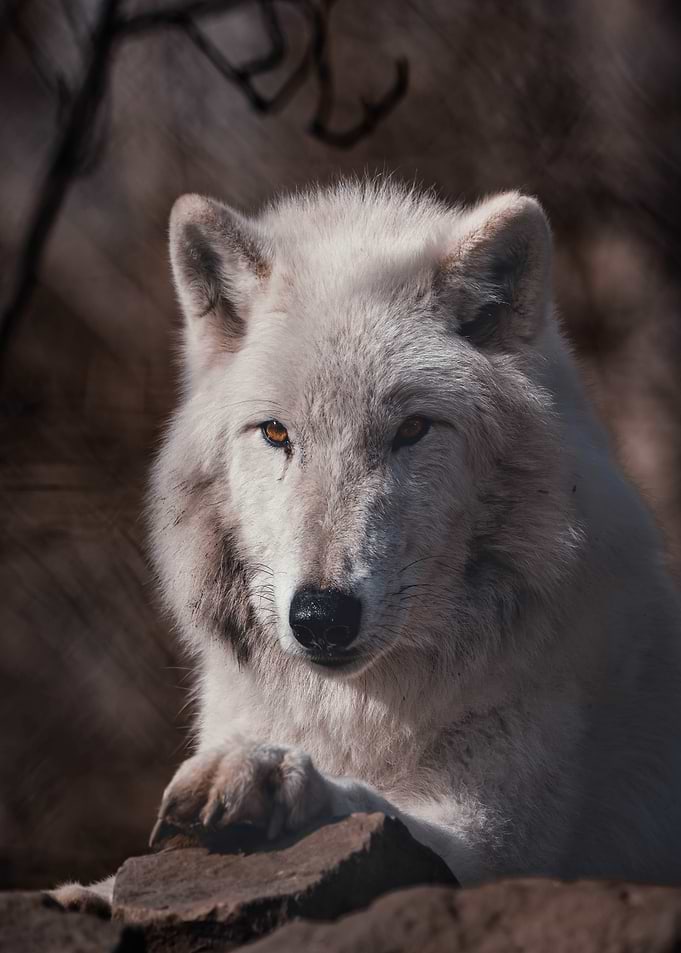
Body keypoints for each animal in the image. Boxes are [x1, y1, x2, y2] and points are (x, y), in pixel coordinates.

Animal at [54, 178, 681, 910]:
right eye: (276, 433)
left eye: (411, 430)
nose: (321, 616)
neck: (359, 713)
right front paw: (86, 893)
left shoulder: (495, 846)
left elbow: (379, 811)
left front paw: (266, 776)